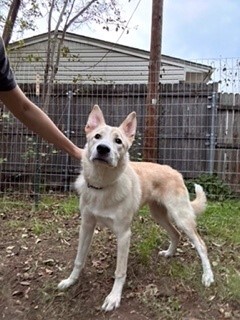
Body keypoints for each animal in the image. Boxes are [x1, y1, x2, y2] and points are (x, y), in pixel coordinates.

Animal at [57, 106, 214, 312]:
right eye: (97, 136)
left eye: (118, 141)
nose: (103, 149)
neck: (102, 186)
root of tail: (175, 172)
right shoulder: (86, 226)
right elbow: (78, 259)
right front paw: (70, 281)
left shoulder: (124, 234)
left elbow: (120, 271)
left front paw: (114, 298)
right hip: (159, 215)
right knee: (175, 234)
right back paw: (169, 254)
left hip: (181, 217)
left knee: (201, 245)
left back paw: (208, 276)